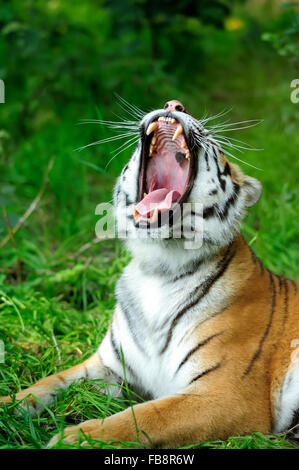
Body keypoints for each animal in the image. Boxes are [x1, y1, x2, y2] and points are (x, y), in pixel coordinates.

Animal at [0, 99, 299, 448]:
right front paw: (8, 406)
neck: (158, 266)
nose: (174, 104)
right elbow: (46, 385)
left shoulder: (225, 393)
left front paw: (75, 438)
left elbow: (144, 417)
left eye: (215, 144)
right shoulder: (109, 367)